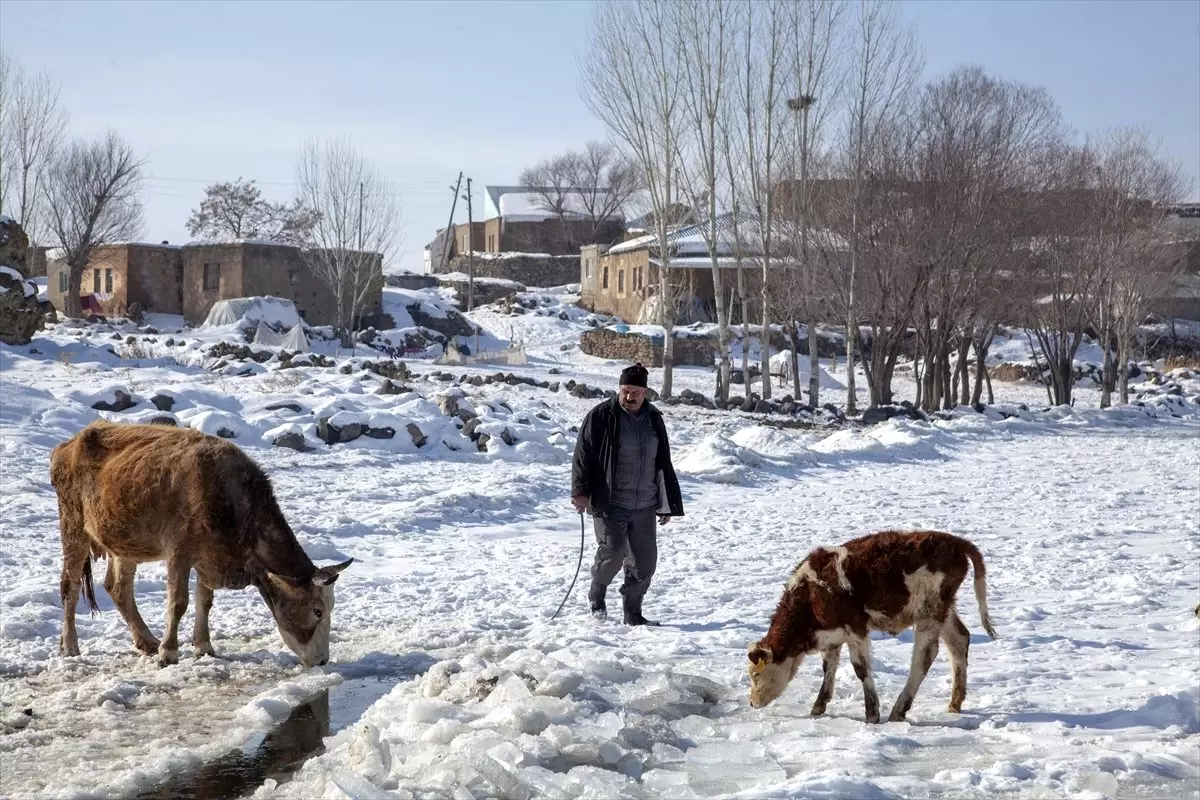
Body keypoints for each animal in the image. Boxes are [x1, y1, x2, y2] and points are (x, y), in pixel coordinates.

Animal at [51, 419, 350, 671]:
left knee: (118, 588)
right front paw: (169, 653)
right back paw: (70, 646)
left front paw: (204, 646)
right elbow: (178, 603)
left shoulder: (208, 557)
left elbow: (204, 601)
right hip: (73, 526)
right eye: (318, 610)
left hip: (125, 543)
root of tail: (68, 444)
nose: (323, 660)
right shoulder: (179, 552)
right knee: (70, 586)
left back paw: (147, 641)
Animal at [748, 532, 993, 724]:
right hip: (944, 611)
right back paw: (954, 703)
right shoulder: (832, 633)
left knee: (925, 656)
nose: (752, 703)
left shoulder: (855, 628)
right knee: (959, 640)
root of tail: (956, 542)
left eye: (756, 674)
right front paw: (818, 706)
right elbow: (829, 667)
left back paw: (898, 710)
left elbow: (861, 668)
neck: (810, 594)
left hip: (930, 612)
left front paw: (872, 714)